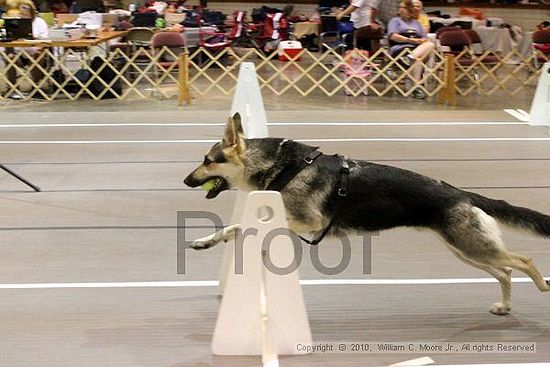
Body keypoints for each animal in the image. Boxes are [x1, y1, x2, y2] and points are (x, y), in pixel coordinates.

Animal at [185, 113, 550, 314]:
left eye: (207, 160)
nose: (186, 180)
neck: (279, 165)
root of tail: (461, 193)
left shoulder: (308, 221)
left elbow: (246, 225)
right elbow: (235, 227)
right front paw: (208, 240)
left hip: (471, 248)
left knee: (524, 261)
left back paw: (544, 288)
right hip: (465, 251)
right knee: (506, 272)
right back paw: (505, 306)